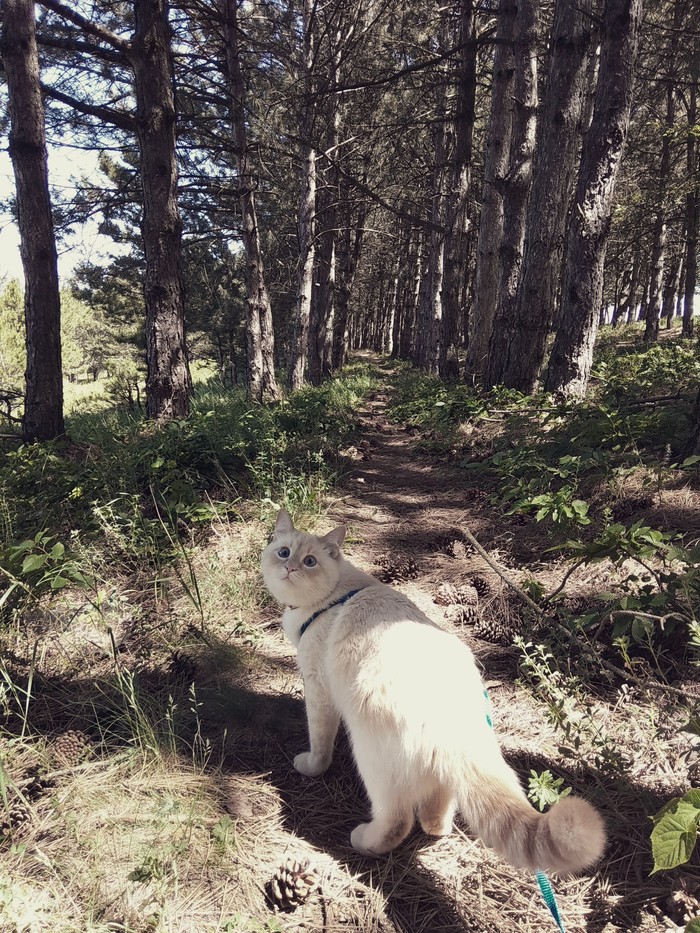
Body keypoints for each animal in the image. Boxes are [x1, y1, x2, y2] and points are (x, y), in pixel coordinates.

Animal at [262, 506, 608, 872]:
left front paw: (311, 766)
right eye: (283, 552)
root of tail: (453, 717)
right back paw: (433, 826)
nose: (289, 567)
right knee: (438, 812)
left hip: (371, 758)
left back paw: (364, 840)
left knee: (397, 821)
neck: (333, 598)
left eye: (309, 561)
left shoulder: (318, 690)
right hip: (439, 770)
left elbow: (319, 742)